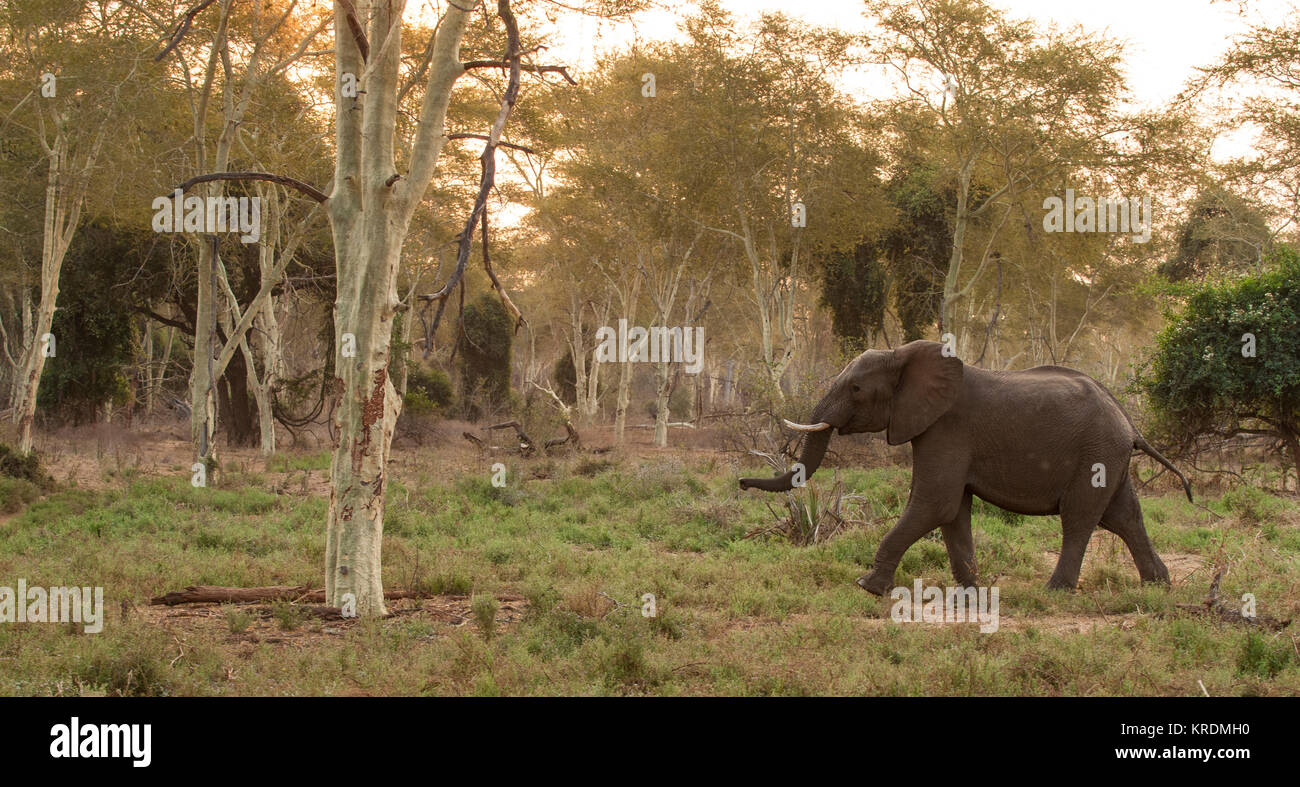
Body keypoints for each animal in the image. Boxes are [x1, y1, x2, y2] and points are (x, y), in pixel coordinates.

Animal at [738, 338, 1190, 587]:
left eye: (856, 389)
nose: (741, 483)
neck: (904, 354)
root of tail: (1129, 422)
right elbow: (953, 510)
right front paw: (970, 591)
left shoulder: (947, 429)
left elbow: (934, 503)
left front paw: (866, 586)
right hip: (1108, 455)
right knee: (1124, 515)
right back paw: (1158, 585)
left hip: (1096, 451)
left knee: (1080, 518)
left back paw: (1055, 590)